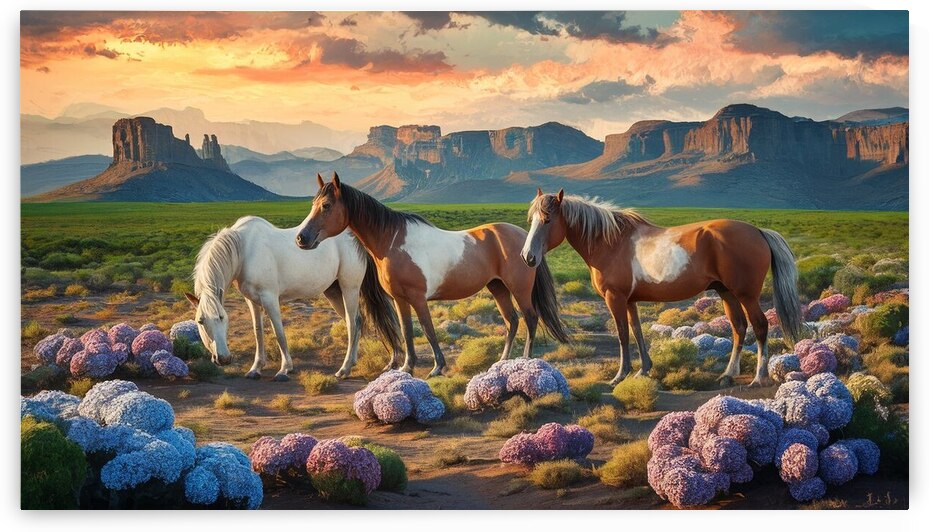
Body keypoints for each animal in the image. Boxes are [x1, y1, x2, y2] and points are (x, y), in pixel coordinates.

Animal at [185, 215, 402, 381]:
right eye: (200, 321)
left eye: (222, 318)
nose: (223, 359)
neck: (244, 250)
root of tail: (355, 236)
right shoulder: (252, 300)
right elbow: (258, 331)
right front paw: (256, 368)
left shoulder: (270, 298)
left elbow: (278, 332)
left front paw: (284, 369)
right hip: (333, 291)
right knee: (355, 322)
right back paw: (354, 363)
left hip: (350, 288)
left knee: (353, 322)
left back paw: (344, 369)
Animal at [295, 173, 570, 378]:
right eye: (313, 205)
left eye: (326, 206)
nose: (301, 238)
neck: (392, 241)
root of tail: (527, 242)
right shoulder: (399, 299)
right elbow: (407, 330)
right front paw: (407, 366)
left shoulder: (417, 297)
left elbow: (427, 329)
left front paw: (437, 367)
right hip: (497, 287)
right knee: (512, 320)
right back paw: (501, 362)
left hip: (519, 289)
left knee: (530, 319)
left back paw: (525, 359)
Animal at [520, 189, 802, 387]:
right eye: (532, 219)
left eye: (547, 220)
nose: (527, 257)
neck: (611, 243)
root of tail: (758, 231)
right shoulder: (630, 300)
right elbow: (637, 331)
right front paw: (643, 370)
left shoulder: (615, 298)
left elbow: (622, 334)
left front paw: (620, 375)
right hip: (726, 293)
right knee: (739, 327)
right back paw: (728, 374)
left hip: (746, 295)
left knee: (760, 326)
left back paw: (759, 377)